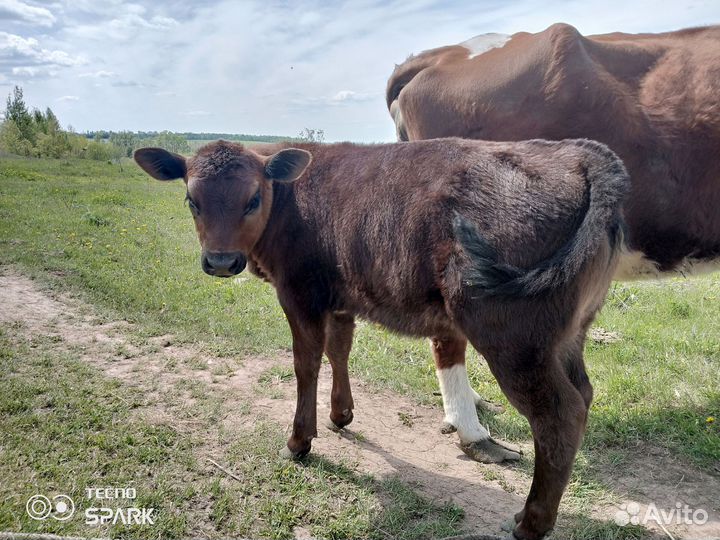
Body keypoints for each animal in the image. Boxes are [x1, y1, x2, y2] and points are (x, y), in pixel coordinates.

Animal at [136, 137, 632, 536]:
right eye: (192, 200)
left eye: (253, 198)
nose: (221, 261)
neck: (292, 202)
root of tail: (578, 153)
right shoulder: (340, 298)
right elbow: (339, 350)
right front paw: (340, 415)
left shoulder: (300, 293)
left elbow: (305, 363)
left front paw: (299, 441)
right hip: (568, 334)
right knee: (584, 393)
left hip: (513, 336)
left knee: (559, 414)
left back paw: (530, 522)